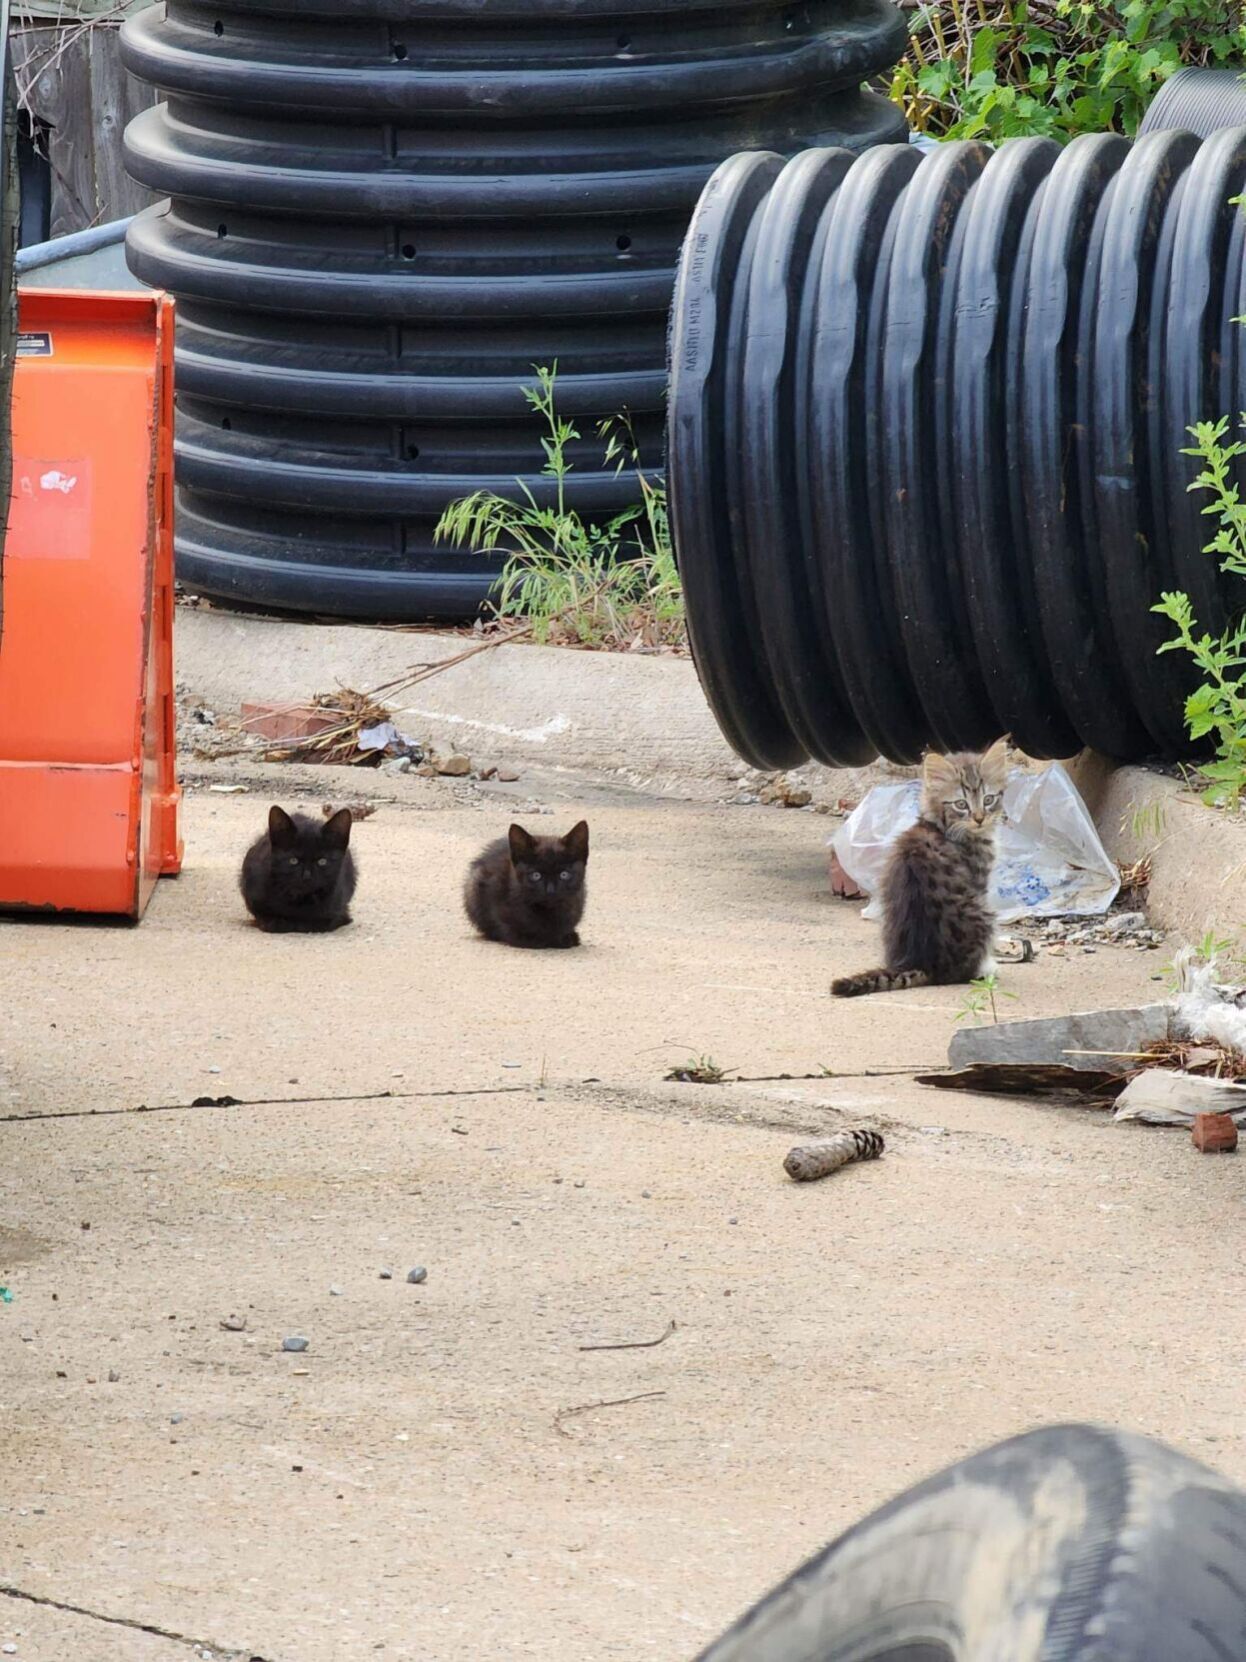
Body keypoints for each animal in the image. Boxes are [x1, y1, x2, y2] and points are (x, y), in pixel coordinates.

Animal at [240, 804, 355, 937]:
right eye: (293, 860)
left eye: (322, 861)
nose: (306, 876)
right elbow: (266, 918)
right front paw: (278, 922)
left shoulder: (338, 909)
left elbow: (320, 922)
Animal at [465, 821, 591, 950]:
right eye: (536, 875)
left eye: (564, 874)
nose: (550, 890)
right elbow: (506, 925)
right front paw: (531, 939)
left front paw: (566, 937)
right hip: (473, 887)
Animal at [830, 744, 1016, 997]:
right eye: (961, 804)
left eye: (988, 799)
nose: (979, 818)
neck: (939, 827)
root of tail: (924, 963)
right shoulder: (980, 881)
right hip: (985, 914)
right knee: (963, 972)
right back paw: (986, 969)